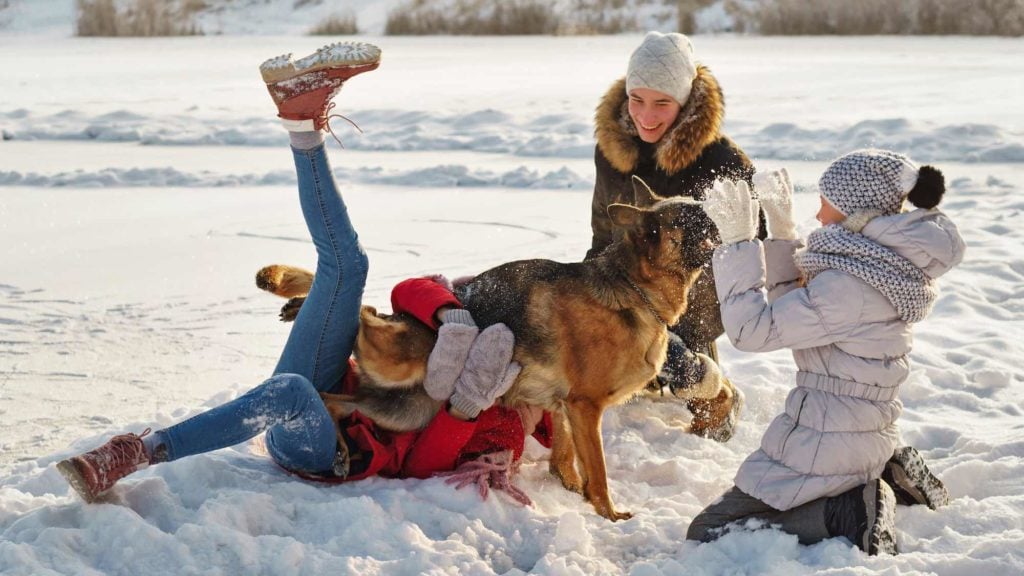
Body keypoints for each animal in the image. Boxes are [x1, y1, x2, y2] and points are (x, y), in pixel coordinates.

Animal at [256, 176, 712, 520]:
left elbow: (566, 455)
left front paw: (570, 487)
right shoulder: (585, 407)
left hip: (405, 410)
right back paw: (301, 305)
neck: (632, 288)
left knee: (333, 398)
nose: (715, 210)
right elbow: (597, 472)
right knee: (362, 311)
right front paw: (608, 515)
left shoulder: (566, 407)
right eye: (690, 218)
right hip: (396, 364)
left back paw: (341, 449)